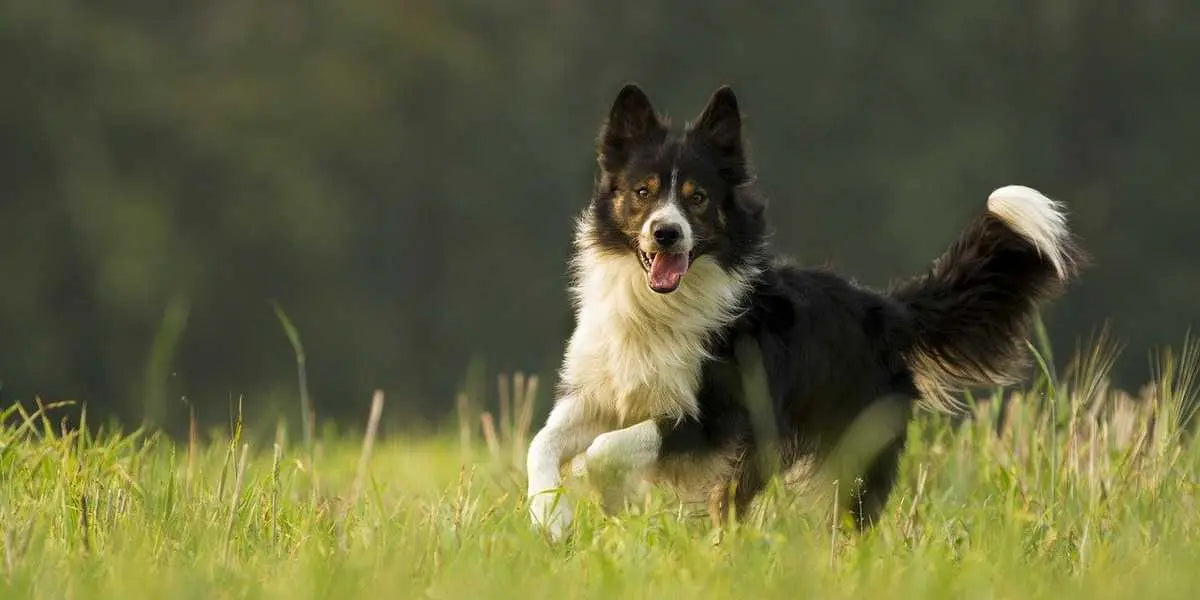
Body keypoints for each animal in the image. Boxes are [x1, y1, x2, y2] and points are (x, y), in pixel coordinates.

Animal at [525, 83, 1080, 540]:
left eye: (697, 199)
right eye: (643, 192)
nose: (666, 233)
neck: (658, 308)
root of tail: (883, 308)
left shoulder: (713, 418)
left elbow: (604, 450)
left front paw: (610, 500)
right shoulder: (601, 393)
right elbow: (542, 442)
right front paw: (550, 520)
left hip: (843, 447)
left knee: (846, 517)